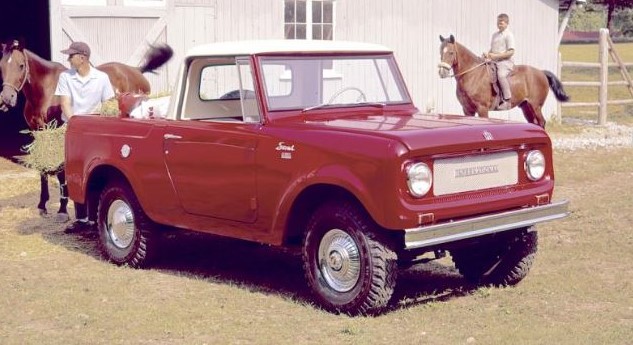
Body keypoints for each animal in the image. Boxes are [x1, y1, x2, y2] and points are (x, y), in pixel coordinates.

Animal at [0, 39, 173, 219]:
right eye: (1, 66)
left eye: (21, 65)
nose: (7, 98)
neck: (47, 90)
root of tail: (135, 71)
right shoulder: (39, 135)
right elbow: (43, 169)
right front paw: (42, 205)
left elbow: (62, 172)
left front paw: (62, 209)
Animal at [440, 34, 568, 127]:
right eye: (440, 51)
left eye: (451, 52)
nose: (442, 72)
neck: (472, 74)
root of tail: (541, 72)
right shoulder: (467, 110)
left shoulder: (482, 109)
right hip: (526, 107)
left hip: (536, 106)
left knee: (541, 122)